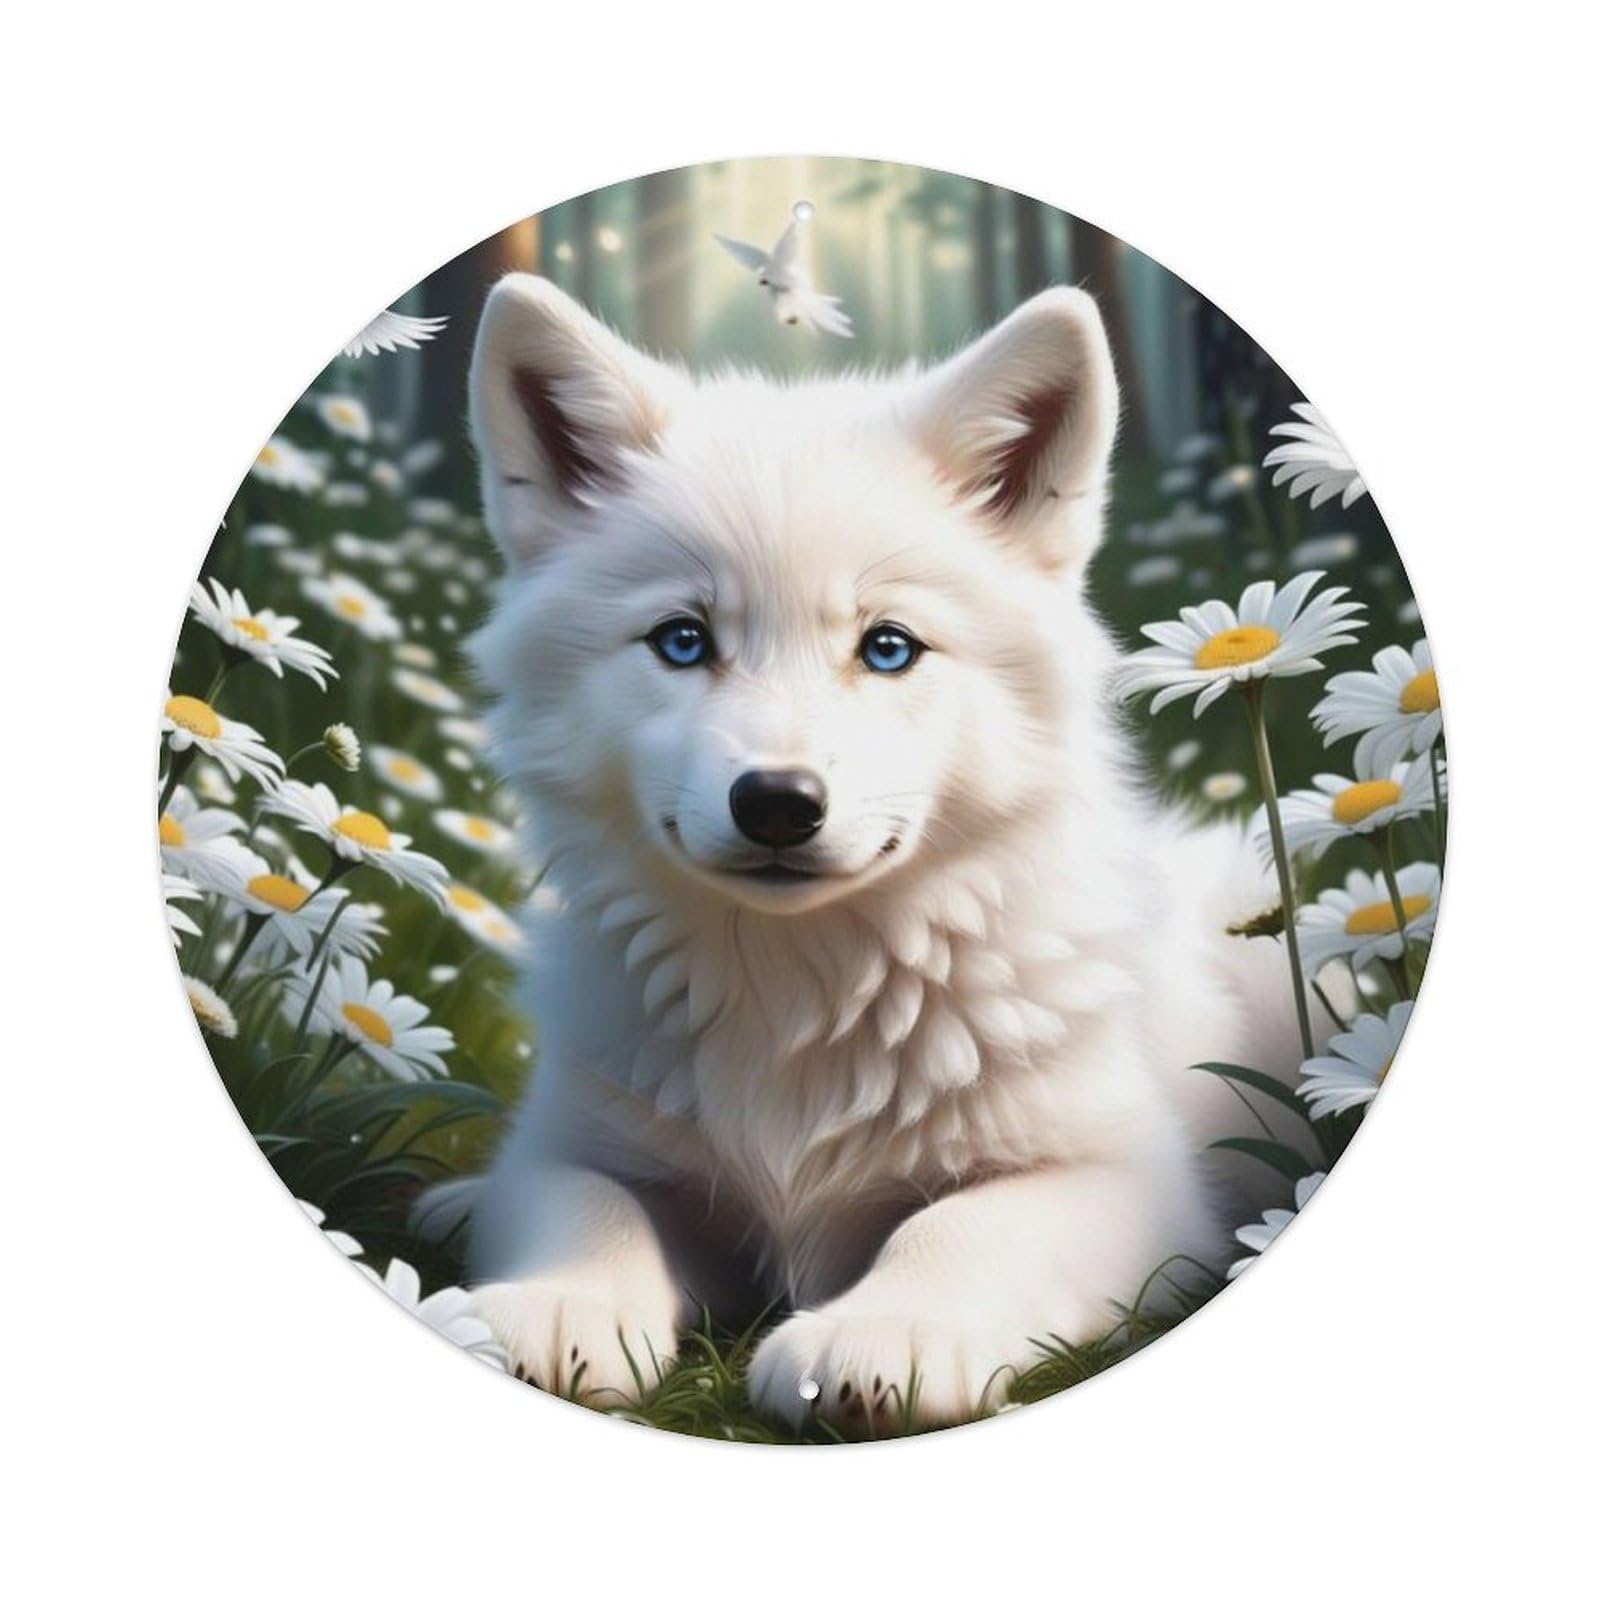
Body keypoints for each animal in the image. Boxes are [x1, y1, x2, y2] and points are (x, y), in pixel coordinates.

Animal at [458, 274, 1318, 1431]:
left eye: (888, 647)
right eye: (683, 640)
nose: (778, 805)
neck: (799, 986)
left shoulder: (1124, 1178)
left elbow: (955, 1226)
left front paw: (887, 1332)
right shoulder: (574, 1140)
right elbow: (593, 1205)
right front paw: (555, 1305)